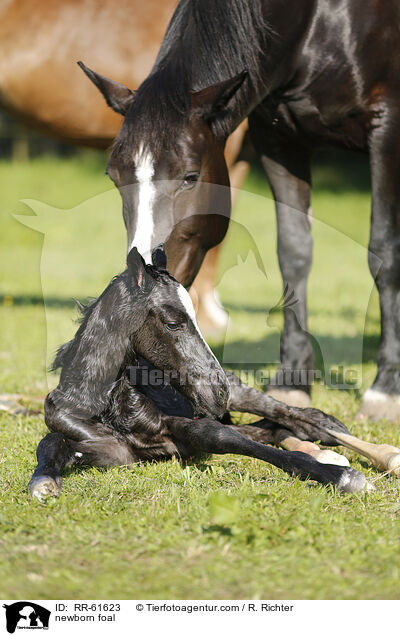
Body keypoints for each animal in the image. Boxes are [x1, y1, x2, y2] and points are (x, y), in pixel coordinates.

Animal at [28, 246, 400, 500]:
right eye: (173, 322)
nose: (218, 391)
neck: (103, 403)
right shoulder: (110, 448)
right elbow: (52, 441)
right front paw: (43, 483)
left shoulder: (183, 424)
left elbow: (219, 436)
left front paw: (341, 477)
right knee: (271, 428)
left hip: (242, 394)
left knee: (292, 416)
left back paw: (360, 445)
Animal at [77, 0, 400, 422]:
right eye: (113, 176)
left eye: (190, 177)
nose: (142, 279)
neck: (319, 20)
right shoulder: (280, 138)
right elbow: (294, 253)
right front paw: (293, 381)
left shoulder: (387, 128)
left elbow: (384, 255)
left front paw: (386, 389)